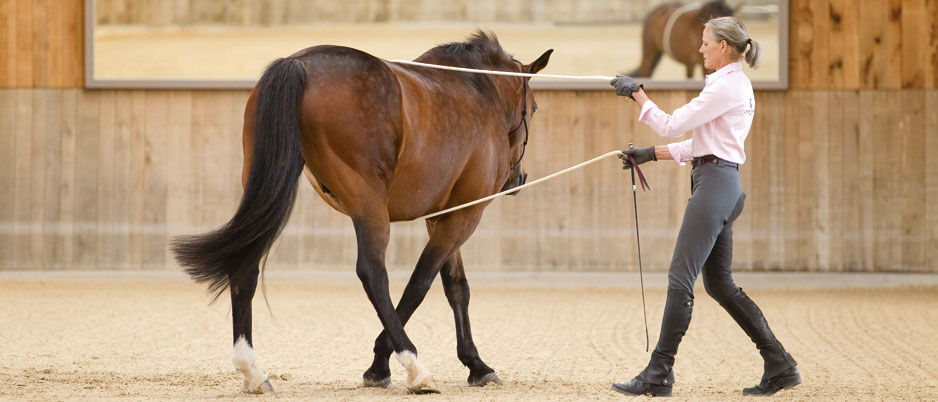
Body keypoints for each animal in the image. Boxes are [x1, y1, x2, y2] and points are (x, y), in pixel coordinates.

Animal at [172, 32, 552, 396]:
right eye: (533, 108)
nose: (517, 180)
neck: (476, 92)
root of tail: (299, 63)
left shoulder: (443, 215)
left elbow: (456, 288)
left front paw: (476, 365)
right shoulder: (465, 215)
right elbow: (420, 283)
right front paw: (381, 365)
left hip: (262, 192)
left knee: (245, 265)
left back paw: (252, 372)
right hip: (369, 205)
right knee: (373, 273)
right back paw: (417, 370)